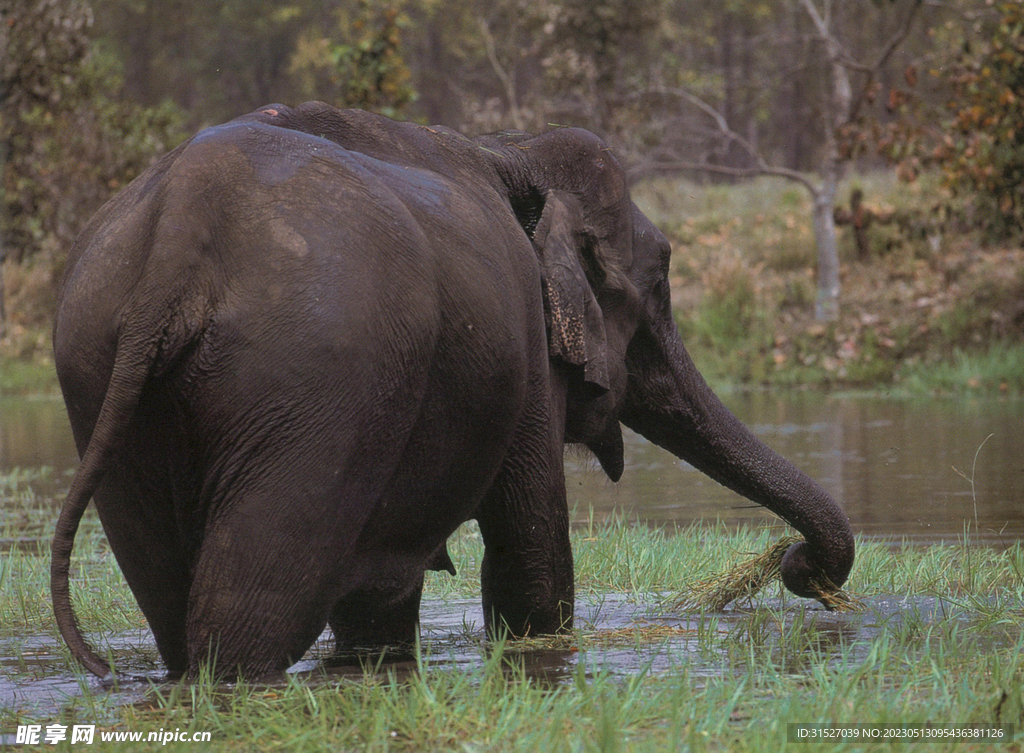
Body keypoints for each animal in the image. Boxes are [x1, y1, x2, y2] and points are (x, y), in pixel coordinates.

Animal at [49, 101, 856, 684]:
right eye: (657, 281)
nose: (796, 566)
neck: (511, 147)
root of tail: (183, 223)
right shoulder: (524, 347)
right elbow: (531, 557)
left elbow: (381, 600)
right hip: (319, 379)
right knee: (249, 611)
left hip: (99, 367)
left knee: (168, 590)